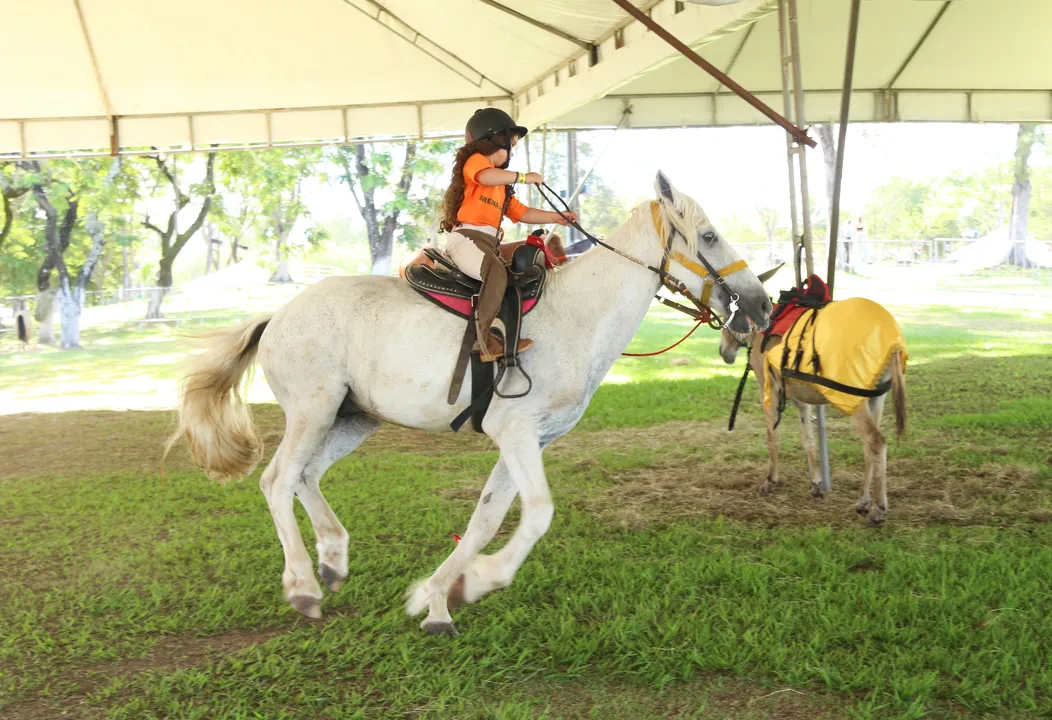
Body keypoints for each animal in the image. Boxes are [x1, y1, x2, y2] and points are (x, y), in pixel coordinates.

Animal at [166, 171, 774, 631]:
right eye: (710, 236)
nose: (761, 305)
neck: (577, 313)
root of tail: (276, 317)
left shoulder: (530, 441)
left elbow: (484, 519)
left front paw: (438, 597)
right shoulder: (516, 430)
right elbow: (536, 513)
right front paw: (480, 579)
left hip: (352, 418)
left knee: (306, 476)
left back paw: (334, 559)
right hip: (313, 412)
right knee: (277, 480)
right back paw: (303, 586)